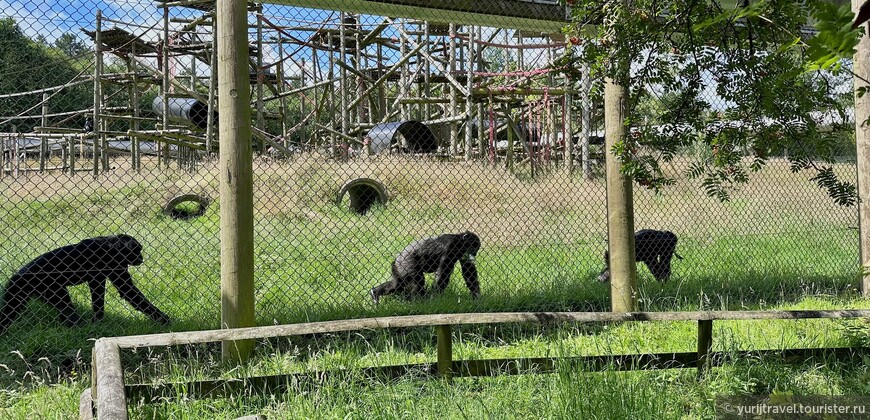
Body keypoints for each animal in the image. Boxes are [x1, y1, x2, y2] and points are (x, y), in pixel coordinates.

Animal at [0, 235, 172, 334]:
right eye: (137, 250)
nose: (141, 256)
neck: (112, 248)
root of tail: (18, 276)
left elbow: (112, 290)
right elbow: (123, 289)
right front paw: (163, 318)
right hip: (41, 285)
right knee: (63, 301)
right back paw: (77, 325)